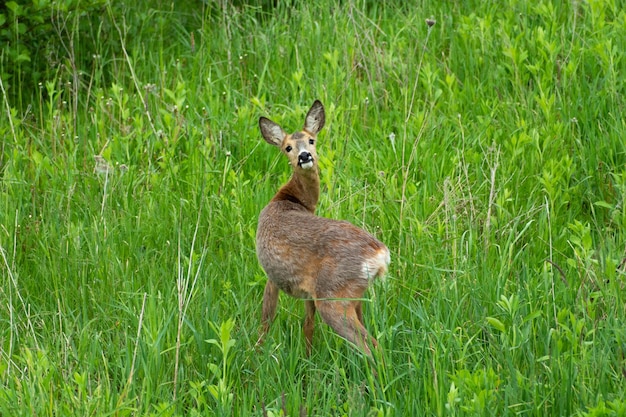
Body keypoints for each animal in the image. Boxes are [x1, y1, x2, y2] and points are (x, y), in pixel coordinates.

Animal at [256, 100, 388, 354]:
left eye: (311, 140)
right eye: (288, 147)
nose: (304, 156)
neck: (288, 199)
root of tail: (380, 254)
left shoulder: (272, 275)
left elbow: (266, 319)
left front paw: (255, 352)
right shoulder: (308, 290)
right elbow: (308, 326)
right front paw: (306, 356)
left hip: (333, 296)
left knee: (373, 347)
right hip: (354, 295)